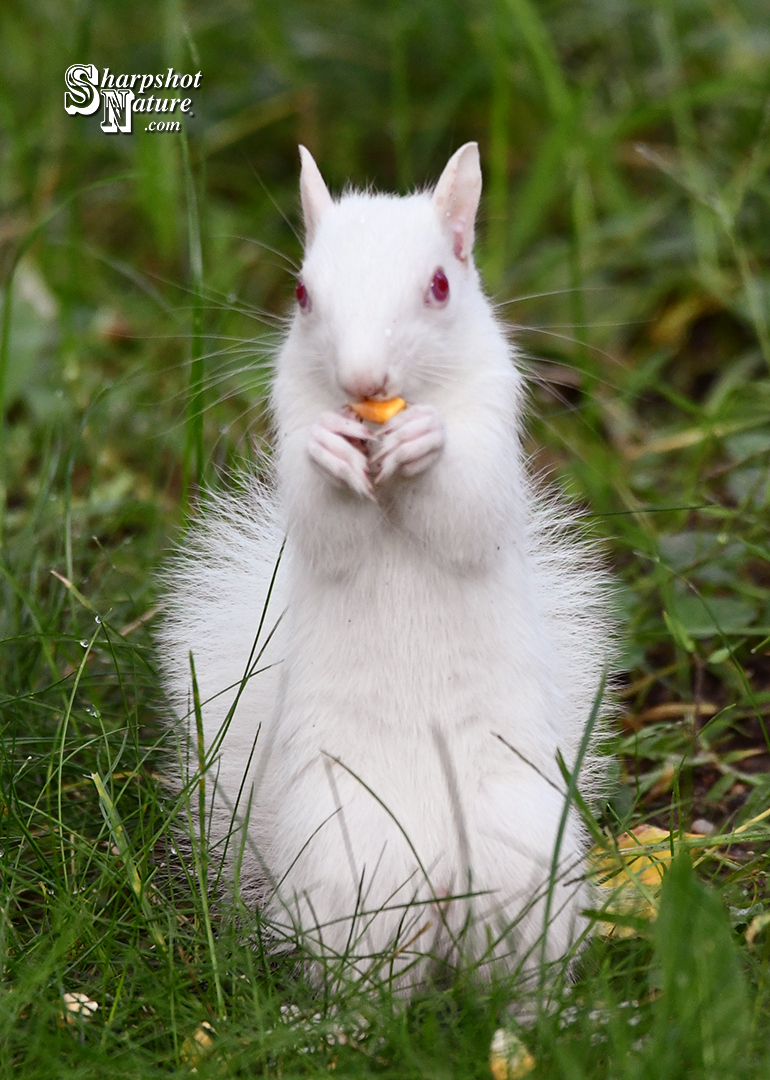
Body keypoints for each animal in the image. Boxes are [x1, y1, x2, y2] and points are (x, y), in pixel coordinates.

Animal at [158, 145, 617, 993]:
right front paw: (331, 454)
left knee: (521, 972)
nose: (365, 382)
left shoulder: (494, 415)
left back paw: (562, 1013)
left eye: (439, 285)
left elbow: (467, 509)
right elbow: (325, 524)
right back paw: (336, 1017)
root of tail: (438, 880)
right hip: (349, 858)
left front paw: (426, 442)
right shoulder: (292, 411)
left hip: (521, 854)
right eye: (303, 292)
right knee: (371, 978)